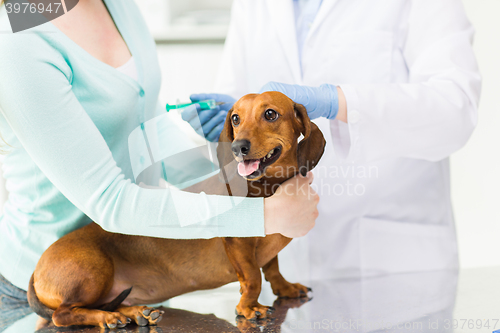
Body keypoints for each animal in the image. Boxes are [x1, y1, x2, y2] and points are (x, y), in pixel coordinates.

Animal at [27, 91, 326, 326]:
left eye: (271, 114)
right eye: (235, 118)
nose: (238, 147)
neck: (267, 185)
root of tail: (36, 270)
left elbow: (272, 267)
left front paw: (285, 287)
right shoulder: (239, 243)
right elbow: (253, 277)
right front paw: (249, 307)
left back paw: (136, 313)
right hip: (94, 271)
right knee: (63, 314)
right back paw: (109, 318)